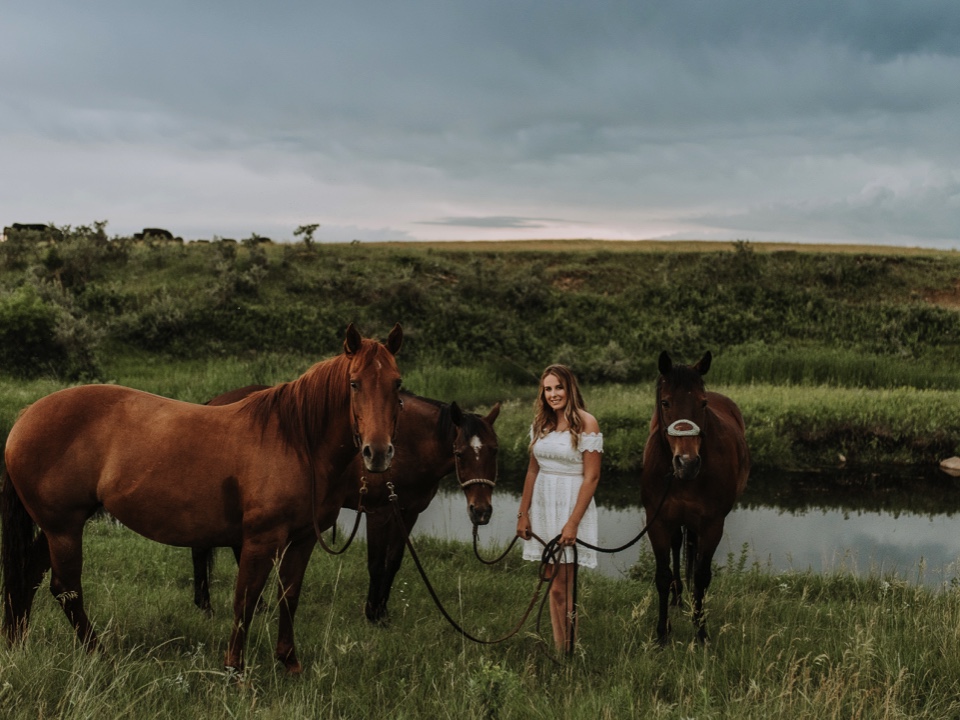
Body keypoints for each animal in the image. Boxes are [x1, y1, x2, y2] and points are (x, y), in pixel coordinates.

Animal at [1, 324, 404, 672]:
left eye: (397, 384)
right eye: (354, 383)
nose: (378, 453)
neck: (295, 441)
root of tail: (25, 416)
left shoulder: (302, 539)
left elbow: (288, 597)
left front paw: (289, 663)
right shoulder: (260, 540)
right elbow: (245, 601)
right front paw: (234, 670)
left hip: (58, 528)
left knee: (31, 575)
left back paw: (18, 643)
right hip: (64, 528)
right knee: (66, 590)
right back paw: (99, 654)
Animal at [189, 388, 502, 624]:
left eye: (495, 450)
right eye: (459, 453)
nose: (481, 512)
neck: (408, 445)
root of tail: (211, 404)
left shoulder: (408, 512)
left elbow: (393, 562)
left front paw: (382, 611)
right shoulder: (379, 512)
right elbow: (376, 563)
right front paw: (372, 614)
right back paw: (206, 606)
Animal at [644, 350, 752, 648]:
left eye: (702, 404)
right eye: (665, 402)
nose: (687, 462)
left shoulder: (712, 524)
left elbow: (703, 576)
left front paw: (701, 631)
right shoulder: (657, 522)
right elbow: (662, 575)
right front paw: (662, 633)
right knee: (679, 544)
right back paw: (678, 596)